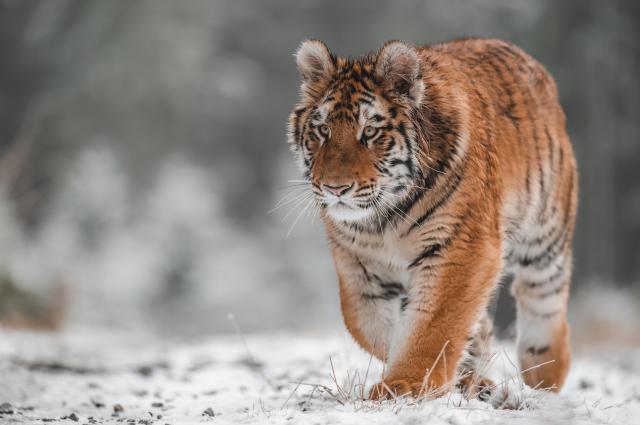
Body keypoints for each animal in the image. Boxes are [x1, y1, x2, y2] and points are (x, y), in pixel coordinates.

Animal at [288, 35, 576, 398]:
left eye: (369, 132)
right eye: (323, 130)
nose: (335, 188)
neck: (381, 220)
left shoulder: (460, 247)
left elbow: (432, 325)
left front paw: (403, 384)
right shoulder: (358, 263)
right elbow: (369, 324)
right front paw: (454, 373)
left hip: (544, 239)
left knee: (544, 300)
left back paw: (545, 375)